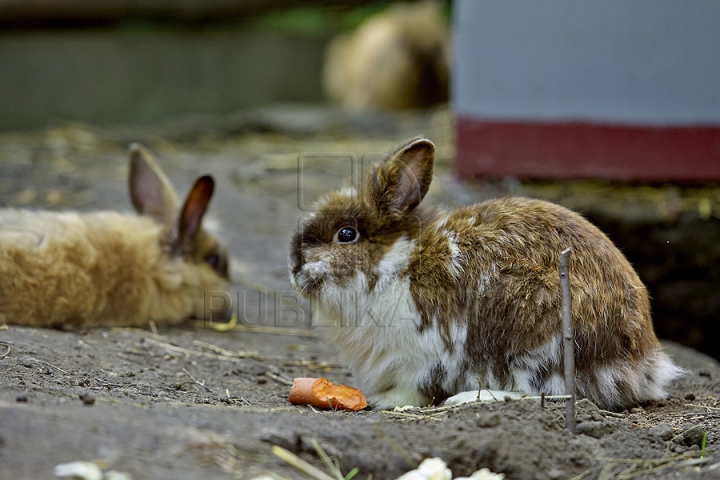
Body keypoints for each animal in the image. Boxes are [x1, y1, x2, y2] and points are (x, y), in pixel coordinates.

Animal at [290, 137, 684, 410]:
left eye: (346, 234)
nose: (294, 265)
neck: (396, 265)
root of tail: (642, 361)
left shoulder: (424, 354)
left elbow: (416, 387)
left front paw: (388, 402)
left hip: (536, 331)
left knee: (548, 393)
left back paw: (465, 400)